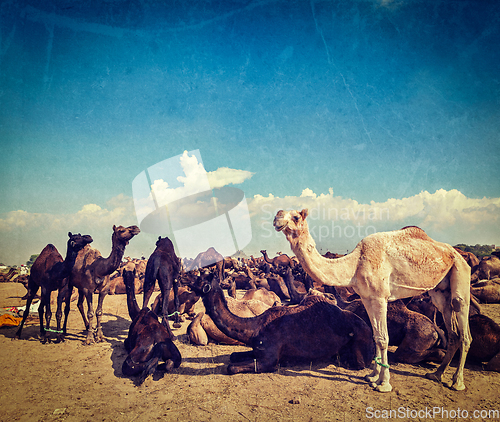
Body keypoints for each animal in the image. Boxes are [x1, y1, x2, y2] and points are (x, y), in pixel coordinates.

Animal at [188, 270, 376, 372]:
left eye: (199, 279)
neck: (255, 328)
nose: (186, 281)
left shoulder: (269, 360)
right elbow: (234, 356)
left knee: (359, 363)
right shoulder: (257, 350)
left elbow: (231, 367)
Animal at [274, 210, 472, 392]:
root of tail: (457, 254)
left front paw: (384, 384)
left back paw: (457, 382)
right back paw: (436, 374)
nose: (277, 219)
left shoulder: (380, 297)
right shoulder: (367, 298)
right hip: (440, 292)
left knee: (463, 325)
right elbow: (376, 336)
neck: (355, 265)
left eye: (296, 217)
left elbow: (384, 338)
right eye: (279, 213)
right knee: (452, 329)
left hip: (461, 272)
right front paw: (373, 376)